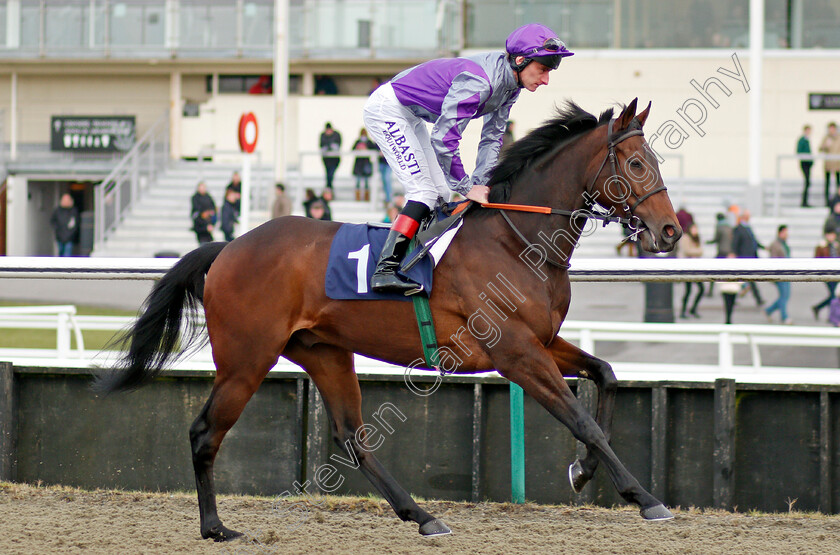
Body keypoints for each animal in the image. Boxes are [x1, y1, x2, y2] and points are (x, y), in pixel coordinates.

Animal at [93, 97, 684, 540]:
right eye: (636, 164)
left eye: (656, 162)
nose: (670, 230)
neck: (515, 241)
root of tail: (229, 247)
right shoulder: (515, 352)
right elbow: (581, 419)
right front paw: (647, 498)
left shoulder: (541, 340)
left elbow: (606, 374)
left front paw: (584, 471)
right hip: (246, 358)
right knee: (204, 432)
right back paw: (215, 526)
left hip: (324, 351)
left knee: (352, 435)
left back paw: (422, 516)